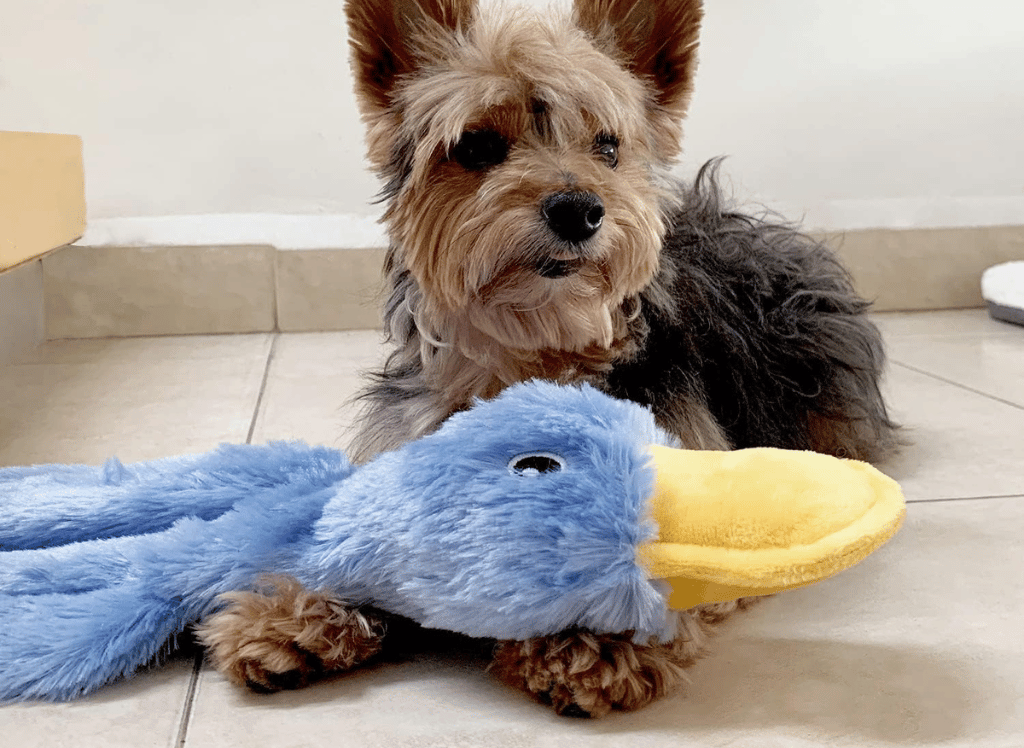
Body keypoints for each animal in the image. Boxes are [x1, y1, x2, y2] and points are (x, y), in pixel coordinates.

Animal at [199, 0, 897, 717]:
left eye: (608, 146)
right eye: (476, 147)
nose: (578, 208)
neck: (537, 346)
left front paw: (596, 638)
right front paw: (297, 610)